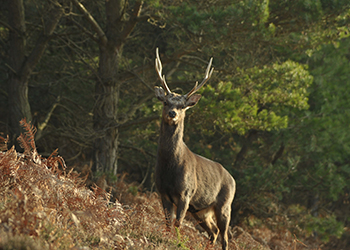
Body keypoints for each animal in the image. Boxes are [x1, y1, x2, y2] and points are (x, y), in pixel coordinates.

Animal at [154, 47, 237, 250]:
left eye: (183, 106)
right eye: (166, 102)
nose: (172, 113)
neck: (169, 168)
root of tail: (233, 180)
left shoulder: (186, 193)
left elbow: (178, 223)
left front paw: (177, 242)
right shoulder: (162, 192)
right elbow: (168, 222)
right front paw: (167, 238)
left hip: (225, 204)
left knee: (224, 236)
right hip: (200, 210)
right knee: (213, 231)